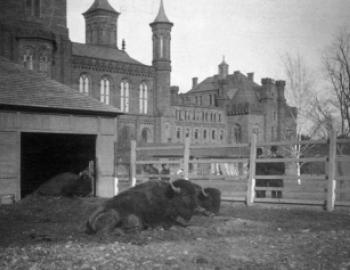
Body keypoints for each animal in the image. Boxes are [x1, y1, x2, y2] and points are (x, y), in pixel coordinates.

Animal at [86, 179, 216, 234]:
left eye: (196, 196)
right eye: (185, 196)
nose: (197, 209)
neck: (168, 197)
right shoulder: (164, 221)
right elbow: (183, 227)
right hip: (114, 215)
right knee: (106, 231)